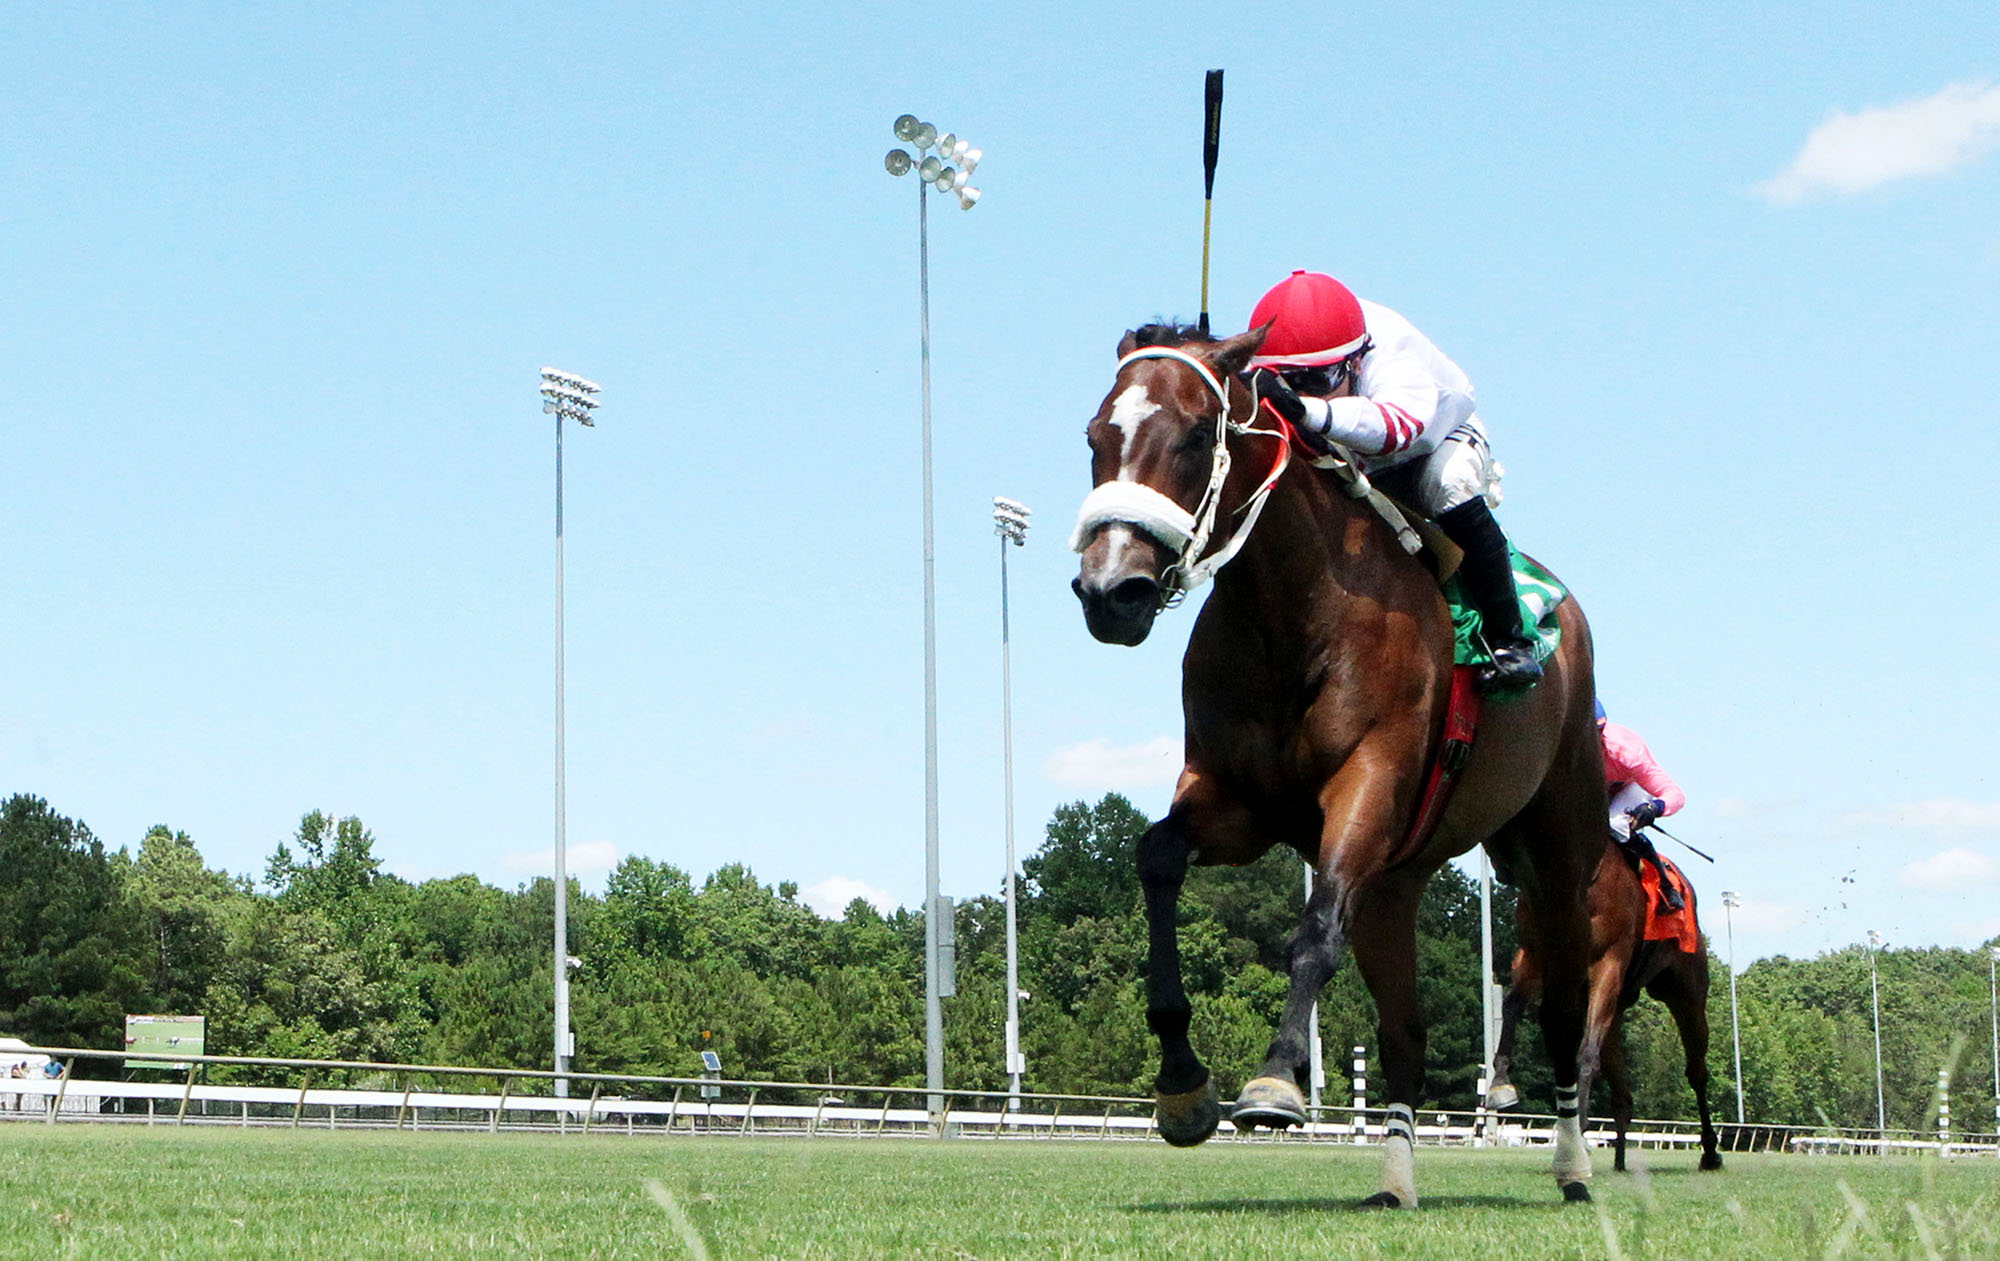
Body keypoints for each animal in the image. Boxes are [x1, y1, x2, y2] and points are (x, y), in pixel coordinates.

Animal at [1070, 323, 1608, 1208]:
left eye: (1195, 436)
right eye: (1095, 439)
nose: (1112, 591)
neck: (1294, 613)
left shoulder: (1367, 787)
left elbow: (1315, 930)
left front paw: (1274, 1081)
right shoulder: (1235, 802)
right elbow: (1157, 857)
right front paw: (1183, 1083)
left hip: (1560, 851)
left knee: (1566, 1010)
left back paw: (1571, 1164)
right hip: (1397, 884)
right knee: (1406, 1035)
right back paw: (1395, 1180)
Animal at [1485, 840, 1724, 1172]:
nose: (1504, 869)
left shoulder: (1608, 963)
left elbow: (1585, 1052)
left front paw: (1576, 1133)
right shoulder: (1534, 955)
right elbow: (1511, 1007)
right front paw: (1500, 1083)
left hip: (1685, 994)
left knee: (1697, 1072)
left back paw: (1710, 1152)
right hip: (1617, 1011)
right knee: (1622, 1093)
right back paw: (1620, 1160)